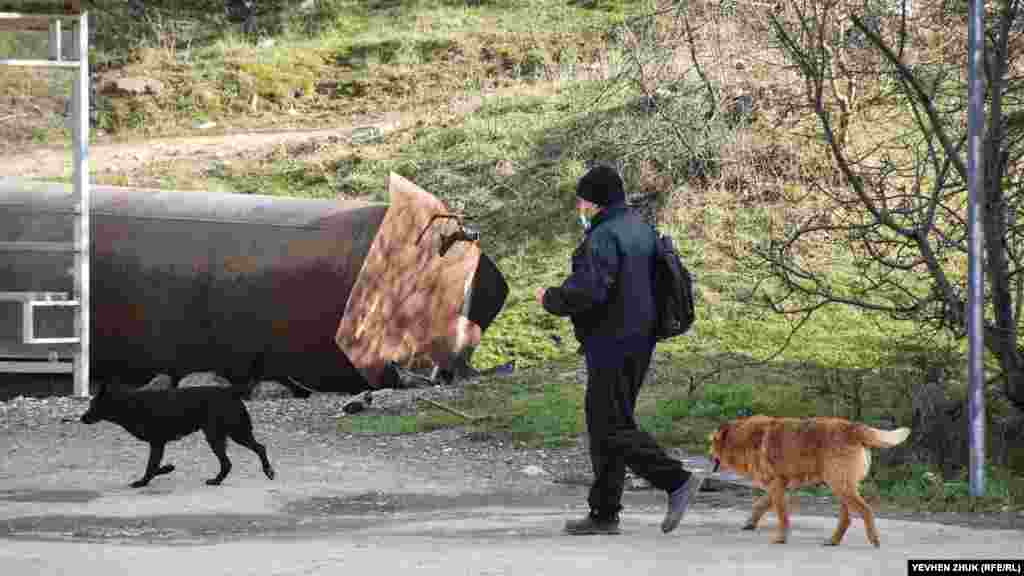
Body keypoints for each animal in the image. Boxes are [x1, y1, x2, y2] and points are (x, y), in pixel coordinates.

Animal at [79, 381, 274, 483]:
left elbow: (151, 467)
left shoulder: (157, 443)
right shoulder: (158, 444)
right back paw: (217, 480)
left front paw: (143, 482)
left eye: (93, 405)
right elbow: (154, 467)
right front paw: (166, 469)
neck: (129, 405)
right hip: (220, 436)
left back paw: (268, 471)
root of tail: (230, 392)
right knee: (230, 462)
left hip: (232, 433)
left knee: (259, 448)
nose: (82, 418)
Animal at [708, 414, 909, 545]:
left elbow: (782, 516)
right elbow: (760, 505)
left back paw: (873, 539)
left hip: (841, 487)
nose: (708, 455)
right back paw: (833, 540)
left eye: (711, 444)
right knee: (847, 518)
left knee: (866, 510)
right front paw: (751, 523)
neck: (741, 439)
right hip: (842, 488)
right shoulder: (779, 486)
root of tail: (853, 427)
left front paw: (781, 538)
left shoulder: (776, 486)